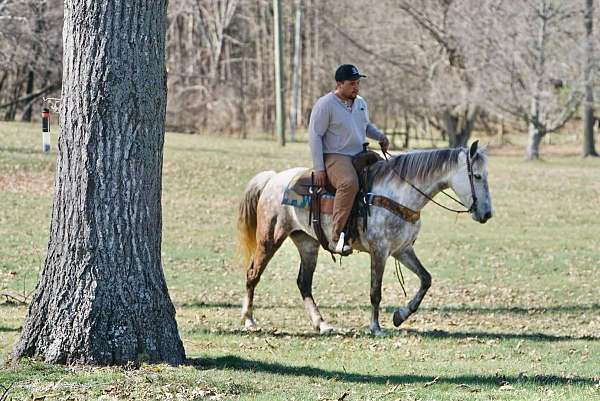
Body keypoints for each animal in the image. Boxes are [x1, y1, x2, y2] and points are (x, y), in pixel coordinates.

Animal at [236, 141, 492, 334]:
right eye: (478, 176)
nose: (487, 214)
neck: (398, 194)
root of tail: (273, 178)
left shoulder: (401, 249)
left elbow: (425, 279)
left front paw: (400, 315)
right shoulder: (380, 251)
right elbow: (375, 291)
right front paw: (376, 327)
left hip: (307, 243)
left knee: (303, 283)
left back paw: (321, 324)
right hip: (269, 238)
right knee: (253, 274)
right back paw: (249, 319)